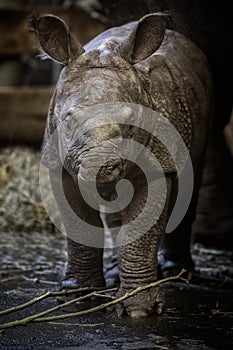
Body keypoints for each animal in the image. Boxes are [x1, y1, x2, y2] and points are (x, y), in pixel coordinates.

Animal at [29, 13, 213, 318]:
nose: (102, 167)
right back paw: (116, 275)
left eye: (130, 121)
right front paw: (78, 296)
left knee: (191, 179)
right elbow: (79, 226)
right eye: (68, 119)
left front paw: (139, 310)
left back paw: (178, 274)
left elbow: (141, 229)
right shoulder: (59, 160)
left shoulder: (158, 162)